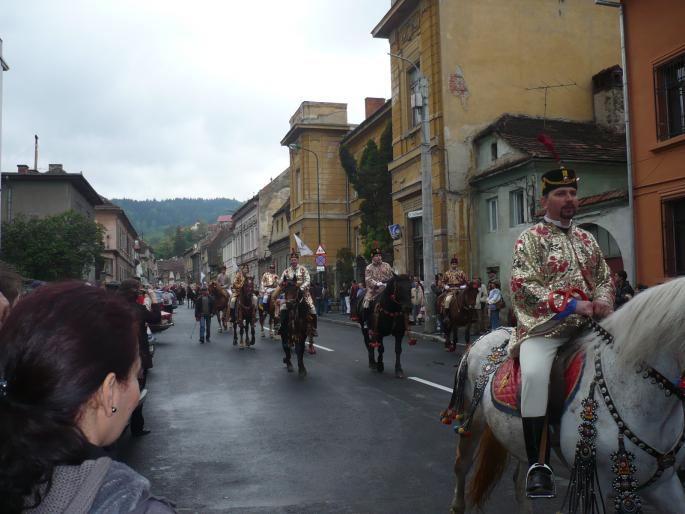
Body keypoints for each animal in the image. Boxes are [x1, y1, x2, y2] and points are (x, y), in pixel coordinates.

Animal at [448, 278, 684, 510]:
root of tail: (488, 334)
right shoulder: (591, 485)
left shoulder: (663, 484)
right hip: (473, 419)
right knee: (461, 465)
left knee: (520, 484)